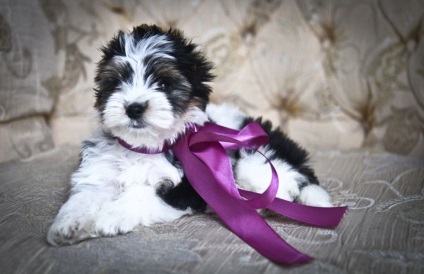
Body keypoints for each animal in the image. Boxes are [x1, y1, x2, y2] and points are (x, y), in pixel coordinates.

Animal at [46, 24, 332, 246]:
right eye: (116, 82)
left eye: (164, 84)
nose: (134, 107)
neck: (143, 147)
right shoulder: (100, 173)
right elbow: (85, 196)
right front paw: (69, 225)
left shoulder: (187, 185)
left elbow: (142, 195)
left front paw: (110, 215)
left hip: (256, 159)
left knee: (283, 188)